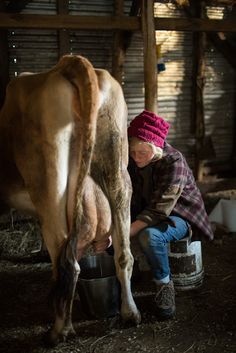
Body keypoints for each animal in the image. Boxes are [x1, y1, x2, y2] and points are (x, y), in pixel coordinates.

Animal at [0, 55, 140, 344]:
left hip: (50, 189)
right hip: (117, 167)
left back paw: (59, 330)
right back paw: (130, 314)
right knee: (123, 254)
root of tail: (68, 64)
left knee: (67, 266)